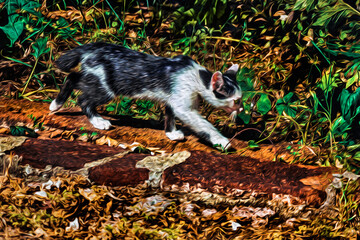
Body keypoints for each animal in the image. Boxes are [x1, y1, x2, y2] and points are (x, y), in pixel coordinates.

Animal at [50, 42, 242, 149]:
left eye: (241, 100)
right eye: (236, 101)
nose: (241, 109)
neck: (198, 77)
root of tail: (94, 47)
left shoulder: (172, 99)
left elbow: (169, 116)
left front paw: (171, 134)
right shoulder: (183, 104)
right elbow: (204, 125)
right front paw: (221, 140)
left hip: (93, 78)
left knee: (72, 77)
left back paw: (56, 104)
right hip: (106, 88)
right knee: (82, 99)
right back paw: (98, 121)